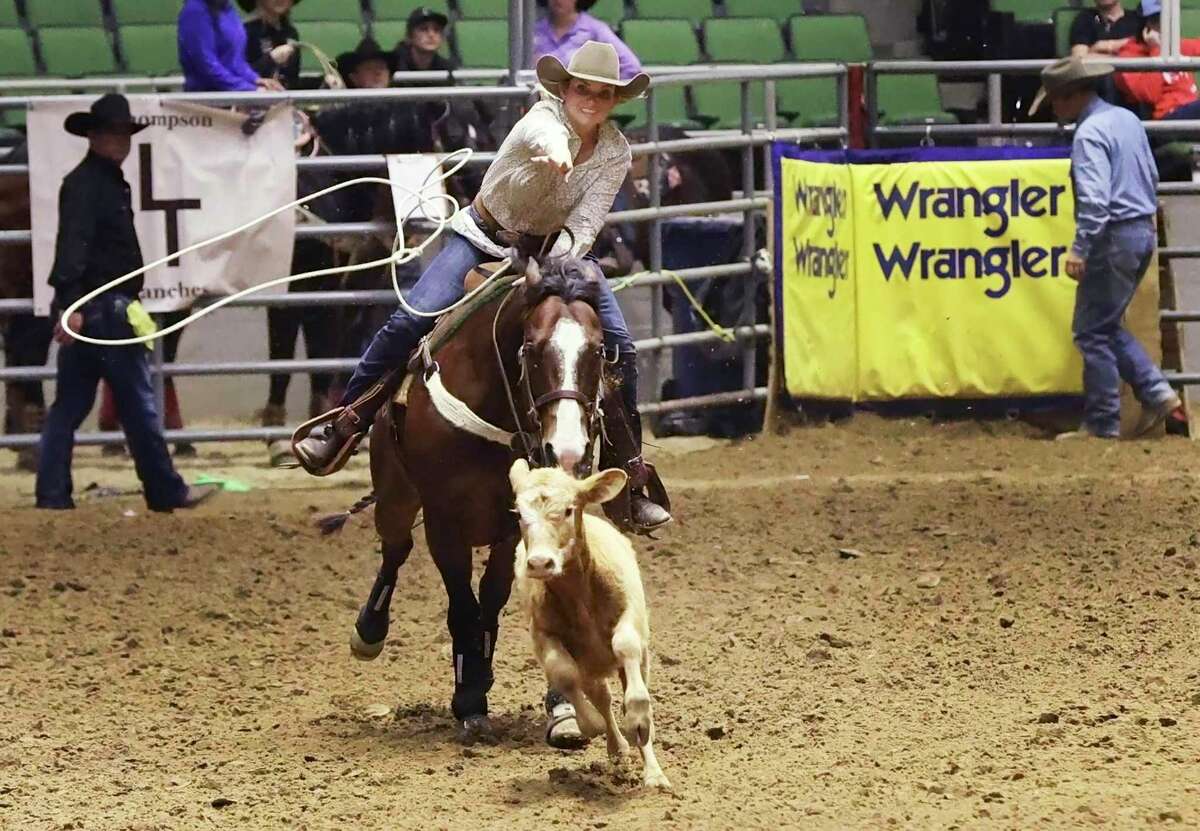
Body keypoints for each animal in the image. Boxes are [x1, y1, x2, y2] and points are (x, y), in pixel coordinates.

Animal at [326, 254, 609, 739]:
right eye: (532, 348)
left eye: (596, 350)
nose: (569, 451)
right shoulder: (444, 522)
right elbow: (462, 605)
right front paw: (470, 698)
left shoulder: (515, 526)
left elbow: (493, 600)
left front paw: (553, 705)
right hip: (395, 496)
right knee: (395, 549)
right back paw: (369, 631)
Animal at [508, 461, 676, 792]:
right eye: (519, 513)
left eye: (569, 509)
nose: (539, 563)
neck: (580, 596)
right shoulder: (543, 634)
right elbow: (561, 671)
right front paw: (590, 724)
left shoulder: (630, 617)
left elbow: (626, 647)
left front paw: (637, 721)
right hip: (590, 668)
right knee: (602, 699)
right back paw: (616, 747)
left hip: (638, 660)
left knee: (633, 696)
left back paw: (652, 770)